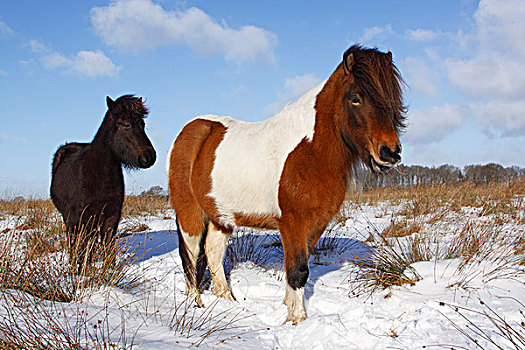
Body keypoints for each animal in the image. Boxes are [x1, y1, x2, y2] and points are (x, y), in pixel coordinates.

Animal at [51, 95, 156, 270]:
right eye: (126, 124)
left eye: (142, 124)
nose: (149, 156)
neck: (97, 175)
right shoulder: (83, 218)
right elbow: (83, 247)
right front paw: (82, 271)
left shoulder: (111, 216)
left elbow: (108, 246)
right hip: (69, 219)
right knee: (73, 241)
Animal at [166, 45, 404, 324]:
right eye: (355, 98)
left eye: (393, 99)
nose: (390, 152)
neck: (310, 151)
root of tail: (190, 130)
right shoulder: (293, 223)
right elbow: (299, 270)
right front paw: (297, 319)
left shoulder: (314, 225)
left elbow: (298, 266)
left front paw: (290, 308)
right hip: (190, 215)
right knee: (191, 257)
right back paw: (196, 302)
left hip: (220, 217)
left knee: (213, 254)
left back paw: (227, 300)